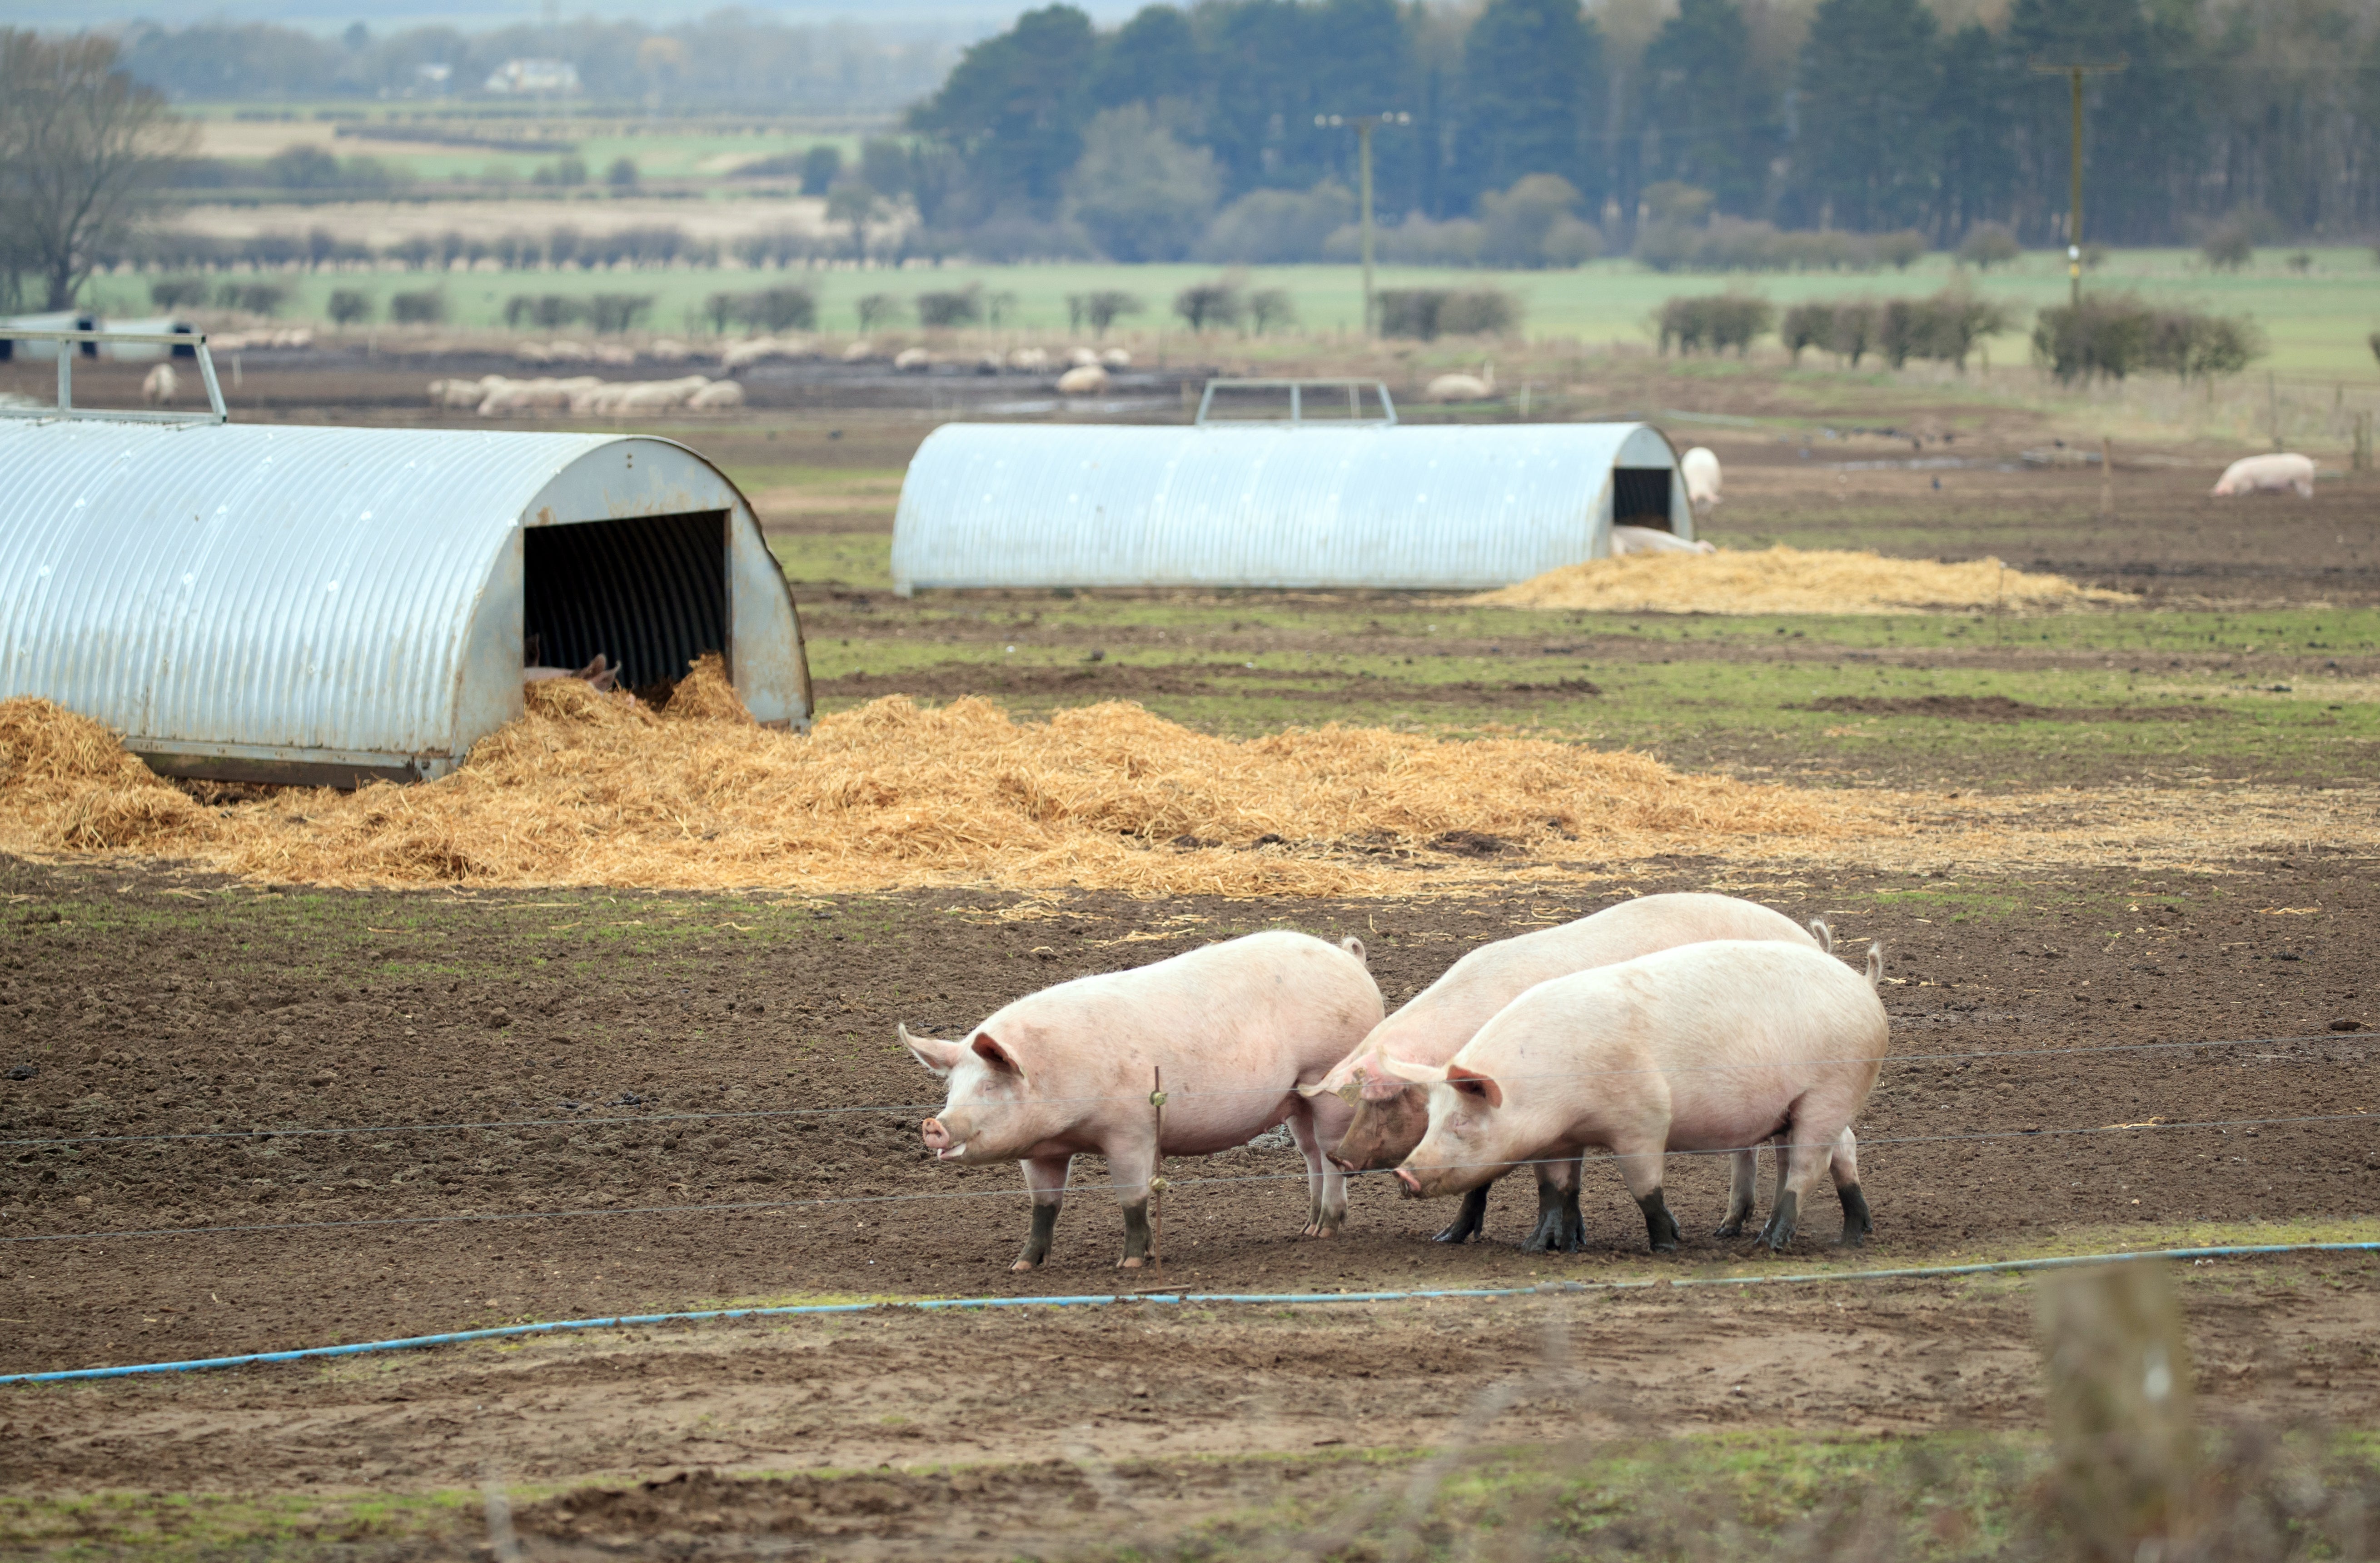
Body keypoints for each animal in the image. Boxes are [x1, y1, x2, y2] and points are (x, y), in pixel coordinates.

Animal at [899, 928, 1389, 1265]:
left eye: (989, 1085)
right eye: (952, 1087)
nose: (934, 1124)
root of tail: (1350, 958)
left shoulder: (1130, 1131)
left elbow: (1132, 1198)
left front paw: (1132, 1261)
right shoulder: (1041, 1151)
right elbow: (1045, 1205)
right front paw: (1023, 1265)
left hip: (1329, 1079)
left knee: (1331, 1153)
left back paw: (1325, 1232)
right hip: (1295, 1098)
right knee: (1310, 1154)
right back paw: (1306, 1229)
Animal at [1314, 889, 1827, 1246]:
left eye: (1385, 1098)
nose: (1341, 1156)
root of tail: (1812, 941)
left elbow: (1493, 1177)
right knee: (1752, 1146)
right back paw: (1729, 1228)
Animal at [1389, 937, 1885, 1256]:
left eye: (1462, 1122)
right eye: (1432, 1119)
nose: (1404, 1174)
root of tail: (1864, 987)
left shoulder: (1643, 1120)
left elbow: (1644, 1188)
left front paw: (1666, 1245)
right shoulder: (1560, 1139)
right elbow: (1556, 1188)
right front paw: (1541, 1247)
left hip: (1832, 1092)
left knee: (1809, 1164)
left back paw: (1773, 1243)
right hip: (1796, 1107)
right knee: (1836, 1152)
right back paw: (1847, 1236)